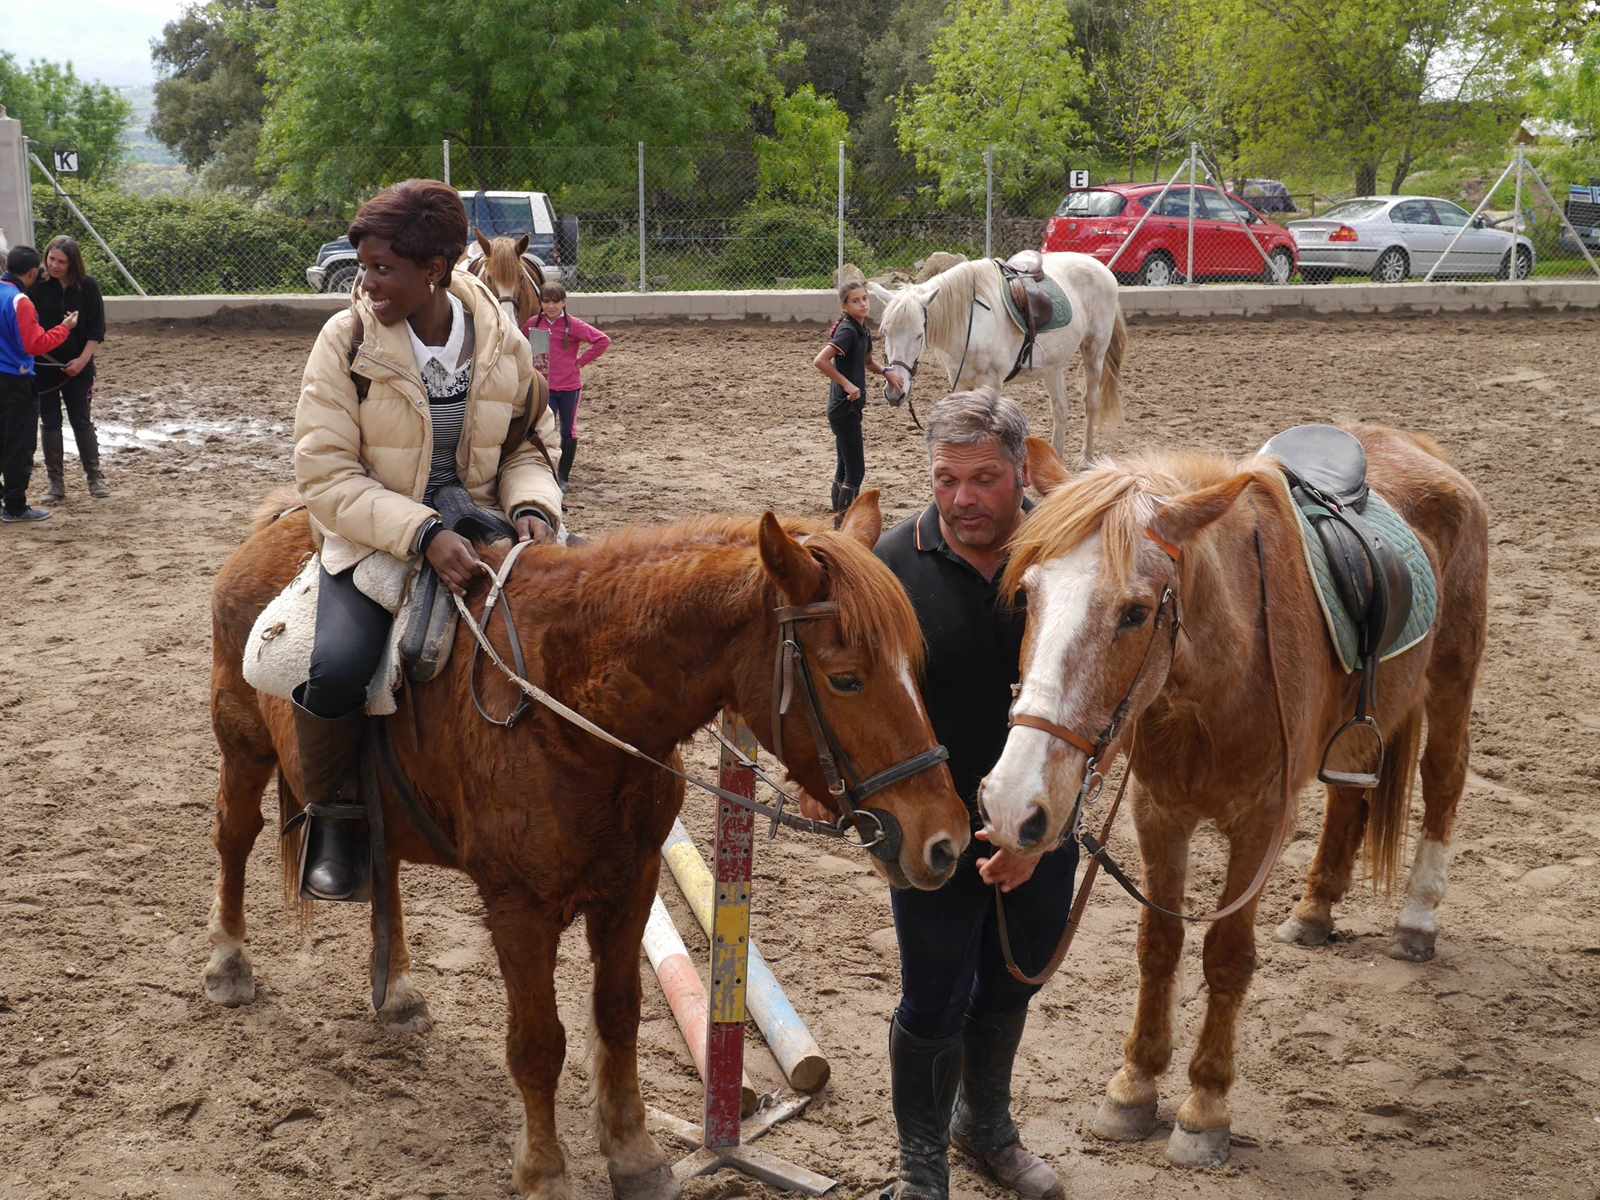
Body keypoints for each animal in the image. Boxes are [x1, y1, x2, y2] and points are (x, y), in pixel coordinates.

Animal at [206, 489, 966, 1200]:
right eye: (846, 678)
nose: (946, 840)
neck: (564, 702)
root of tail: (278, 525)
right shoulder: (518, 908)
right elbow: (539, 1043)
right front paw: (545, 1170)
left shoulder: (632, 884)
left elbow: (619, 1016)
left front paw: (633, 1156)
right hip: (243, 747)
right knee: (234, 838)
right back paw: (228, 963)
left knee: (384, 868)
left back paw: (394, 992)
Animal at [870, 251, 1132, 464]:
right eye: (885, 332)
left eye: (918, 335)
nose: (895, 391)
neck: (970, 320)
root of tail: (1103, 269)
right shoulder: (960, 381)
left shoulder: (991, 383)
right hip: (1053, 367)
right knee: (1060, 409)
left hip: (1094, 352)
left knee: (1091, 402)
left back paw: (1086, 457)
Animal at [972, 432, 1484, 1177]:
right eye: (1028, 593)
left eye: (1134, 612)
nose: (1012, 804)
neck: (1218, 677)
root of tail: (1420, 449)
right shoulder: (1158, 813)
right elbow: (1159, 944)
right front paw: (1135, 1087)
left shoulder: (1261, 823)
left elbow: (1225, 955)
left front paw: (1205, 1106)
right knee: (1348, 801)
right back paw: (1314, 909)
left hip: (1451, 680)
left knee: (1444, 779)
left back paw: (1419, 918)